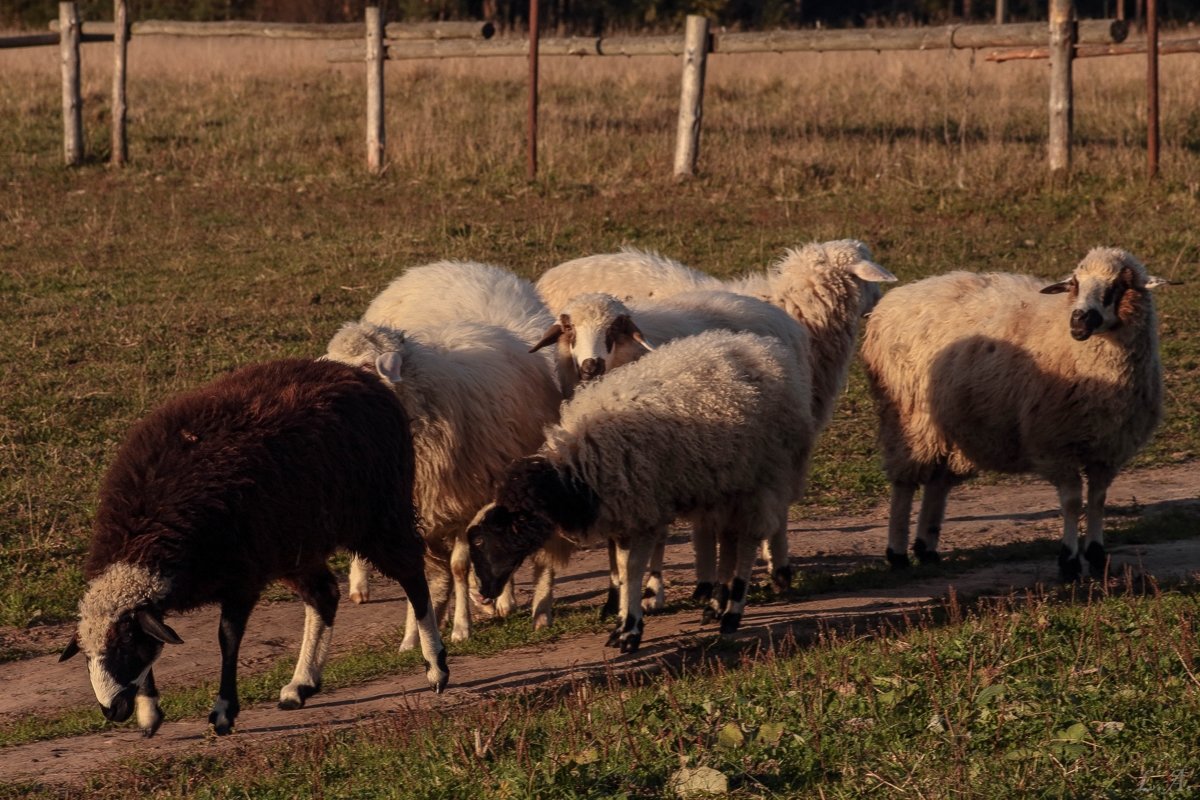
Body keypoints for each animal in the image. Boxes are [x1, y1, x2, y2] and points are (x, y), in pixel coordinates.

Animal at [463, 331, 811, 652]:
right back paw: (715, 606)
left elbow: (631, 570)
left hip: (762, 476)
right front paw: (621, 624)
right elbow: (620, 567)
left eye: (481, 540)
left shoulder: (642, 511)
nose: (482, 593)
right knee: (728, 539)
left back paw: (732, 614)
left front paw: (630, 632)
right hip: (725, 484)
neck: (575, 475)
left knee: (749, 540)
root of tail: (761, 347)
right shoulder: (625, 514)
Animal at [864, 247, 1161, 578]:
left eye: (1118, 286)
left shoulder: (1107, 449)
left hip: (956, 425)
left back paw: (926, 549)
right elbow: (1072, 502)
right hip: (910, 418)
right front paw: (1069, 562)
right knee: (905, 483)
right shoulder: (1055, 445)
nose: (1079, 320)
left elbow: (1097, 500)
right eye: (1075, 283)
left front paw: (1097, 558)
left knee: (938, 482)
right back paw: (898, 553)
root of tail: (898, 297)